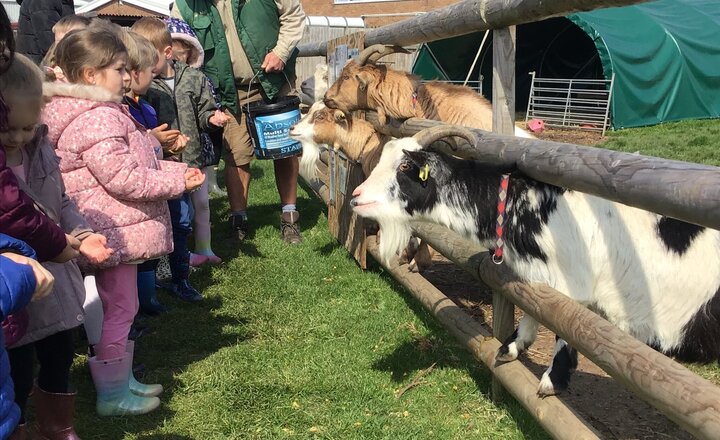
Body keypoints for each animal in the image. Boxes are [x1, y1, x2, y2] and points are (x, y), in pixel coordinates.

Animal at [352, 125, 720, 398]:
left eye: (405, 167)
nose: (356, 197)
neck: (535, 207)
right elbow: (533, 310)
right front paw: (511, 348)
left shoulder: (576, 288)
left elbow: (565, 330)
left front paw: (551, 381)